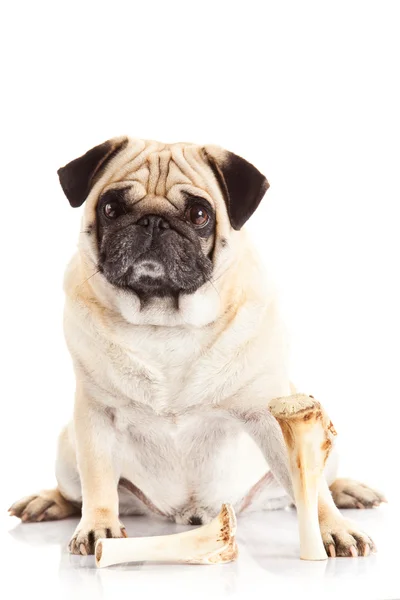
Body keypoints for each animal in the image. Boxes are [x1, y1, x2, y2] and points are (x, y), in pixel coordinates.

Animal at [8, 137, 384, 556]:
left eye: (199, 214)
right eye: (111, 209)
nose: (153, 221)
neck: (165, 324)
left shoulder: (273, 418)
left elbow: (312, 491)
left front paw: (331, 528)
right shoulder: (96, 416)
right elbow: (99, 481)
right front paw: (98, 527)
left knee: (322, 482)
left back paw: (349, 490)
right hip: (67, 449)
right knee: (77, 491)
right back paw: (48, 501)